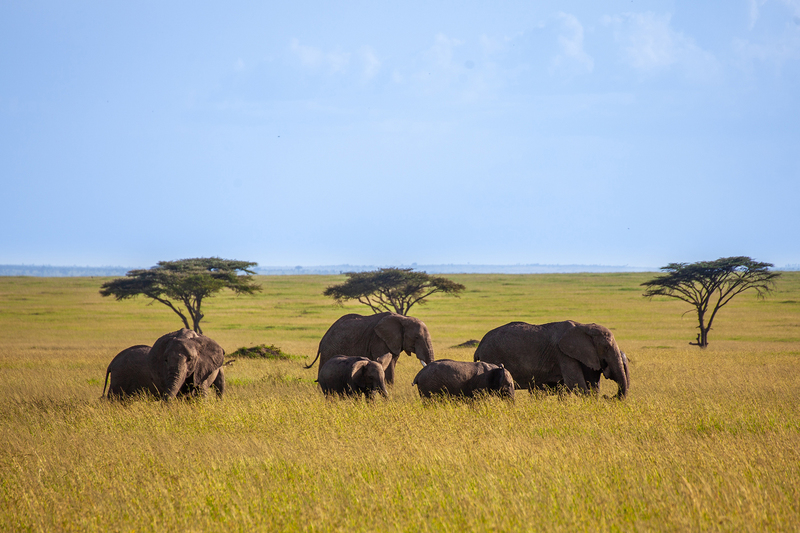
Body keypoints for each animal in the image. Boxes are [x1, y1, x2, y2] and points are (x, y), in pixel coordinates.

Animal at [304, 312, 434, 382]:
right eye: (416, 337)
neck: (403, 318)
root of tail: (322, 339)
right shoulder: (379, 340)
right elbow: (388, 366)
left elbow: (392, 363)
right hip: (330, 349)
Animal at [472, 318, 628, 396]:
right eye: (606, 347)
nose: (609, 397)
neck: (583, 326)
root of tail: (480, 346)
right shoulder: (563, 353)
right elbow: (576, 383)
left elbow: (591, 383)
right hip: (491, 355)